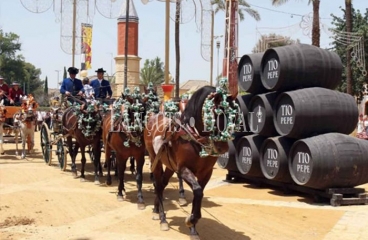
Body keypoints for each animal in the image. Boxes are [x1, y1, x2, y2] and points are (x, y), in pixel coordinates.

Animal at [144, 79, 242, 237]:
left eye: (235, 116)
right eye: (216, 113)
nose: (223, 148)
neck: (193, 136)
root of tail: (153, 117)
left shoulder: (206, 172)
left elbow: (199, 194)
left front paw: (193, 227)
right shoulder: (183, 169)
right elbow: (197, 191)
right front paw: (190, 220)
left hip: (170, 166)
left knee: (162, 184)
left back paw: (156, 209)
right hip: (155, 160)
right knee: (158, 185)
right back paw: (162, 218)